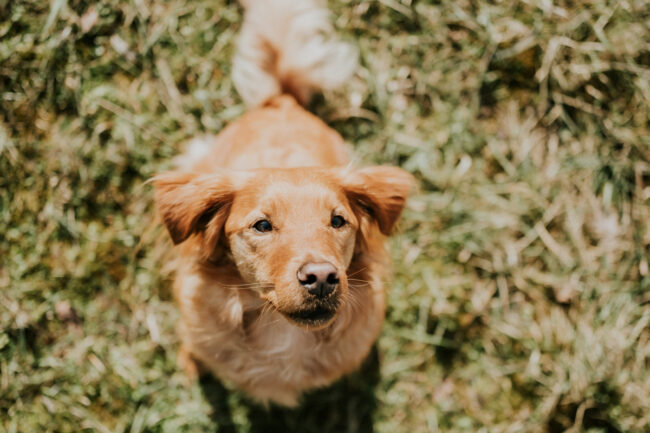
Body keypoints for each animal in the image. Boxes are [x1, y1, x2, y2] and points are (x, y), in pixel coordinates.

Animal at [153, 0, 410, 404]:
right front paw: (191, 364)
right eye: (262, 225)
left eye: (338, 221)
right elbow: (196, 349)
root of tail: (283, 101)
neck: (282, 332)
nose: (321, 278)